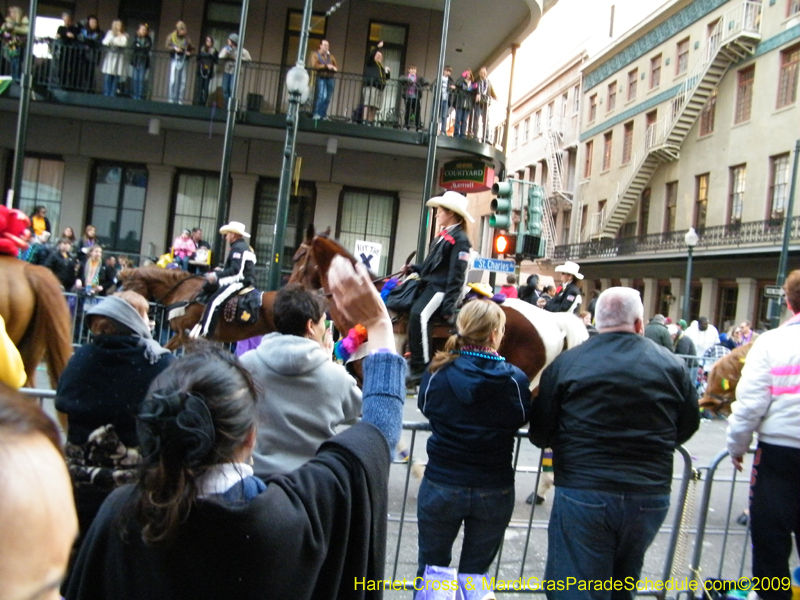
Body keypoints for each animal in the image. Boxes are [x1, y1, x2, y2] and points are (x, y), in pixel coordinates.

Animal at [115, 268, 278, 352]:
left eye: (128, 286)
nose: (117, 302)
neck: (182, 292)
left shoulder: (188, 337)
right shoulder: (180, 335)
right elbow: (166, 348)